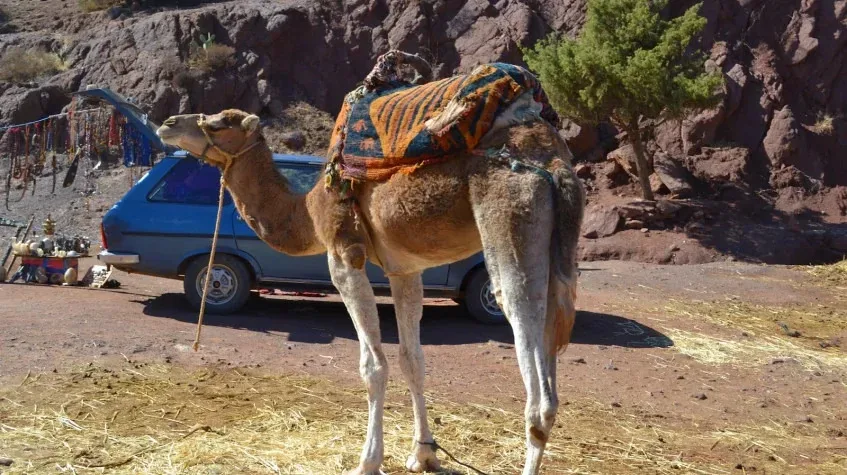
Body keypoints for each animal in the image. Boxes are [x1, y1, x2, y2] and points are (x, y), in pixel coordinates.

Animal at [156, 54, 585, 475]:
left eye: (217, 122)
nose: (167, 124)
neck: (309, 208)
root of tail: (551, 157)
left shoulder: (344, 254)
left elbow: (373, 365)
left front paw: (368, 461)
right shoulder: (405, 269)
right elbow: (413, 360)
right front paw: (423, 454)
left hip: (510, 210)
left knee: (535, 384)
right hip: (554, 247)